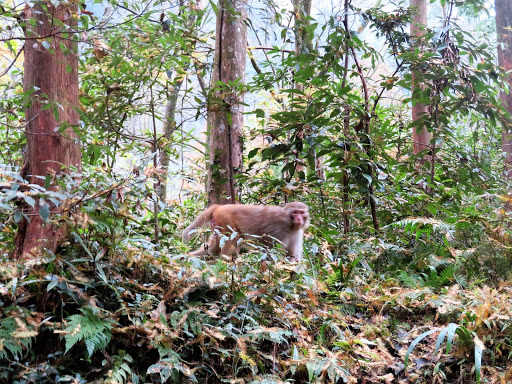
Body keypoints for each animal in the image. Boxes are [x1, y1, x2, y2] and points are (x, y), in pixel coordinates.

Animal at [182, 201, 310, 260]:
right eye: (295, 212)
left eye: (301, 212)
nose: (299, 219)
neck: (290, 224)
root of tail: (219, 206)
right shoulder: (279, 231)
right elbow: (271, 253)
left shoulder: (297, 233)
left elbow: (293, 257)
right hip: (225, 220)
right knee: (234, 238)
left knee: (214, 248)